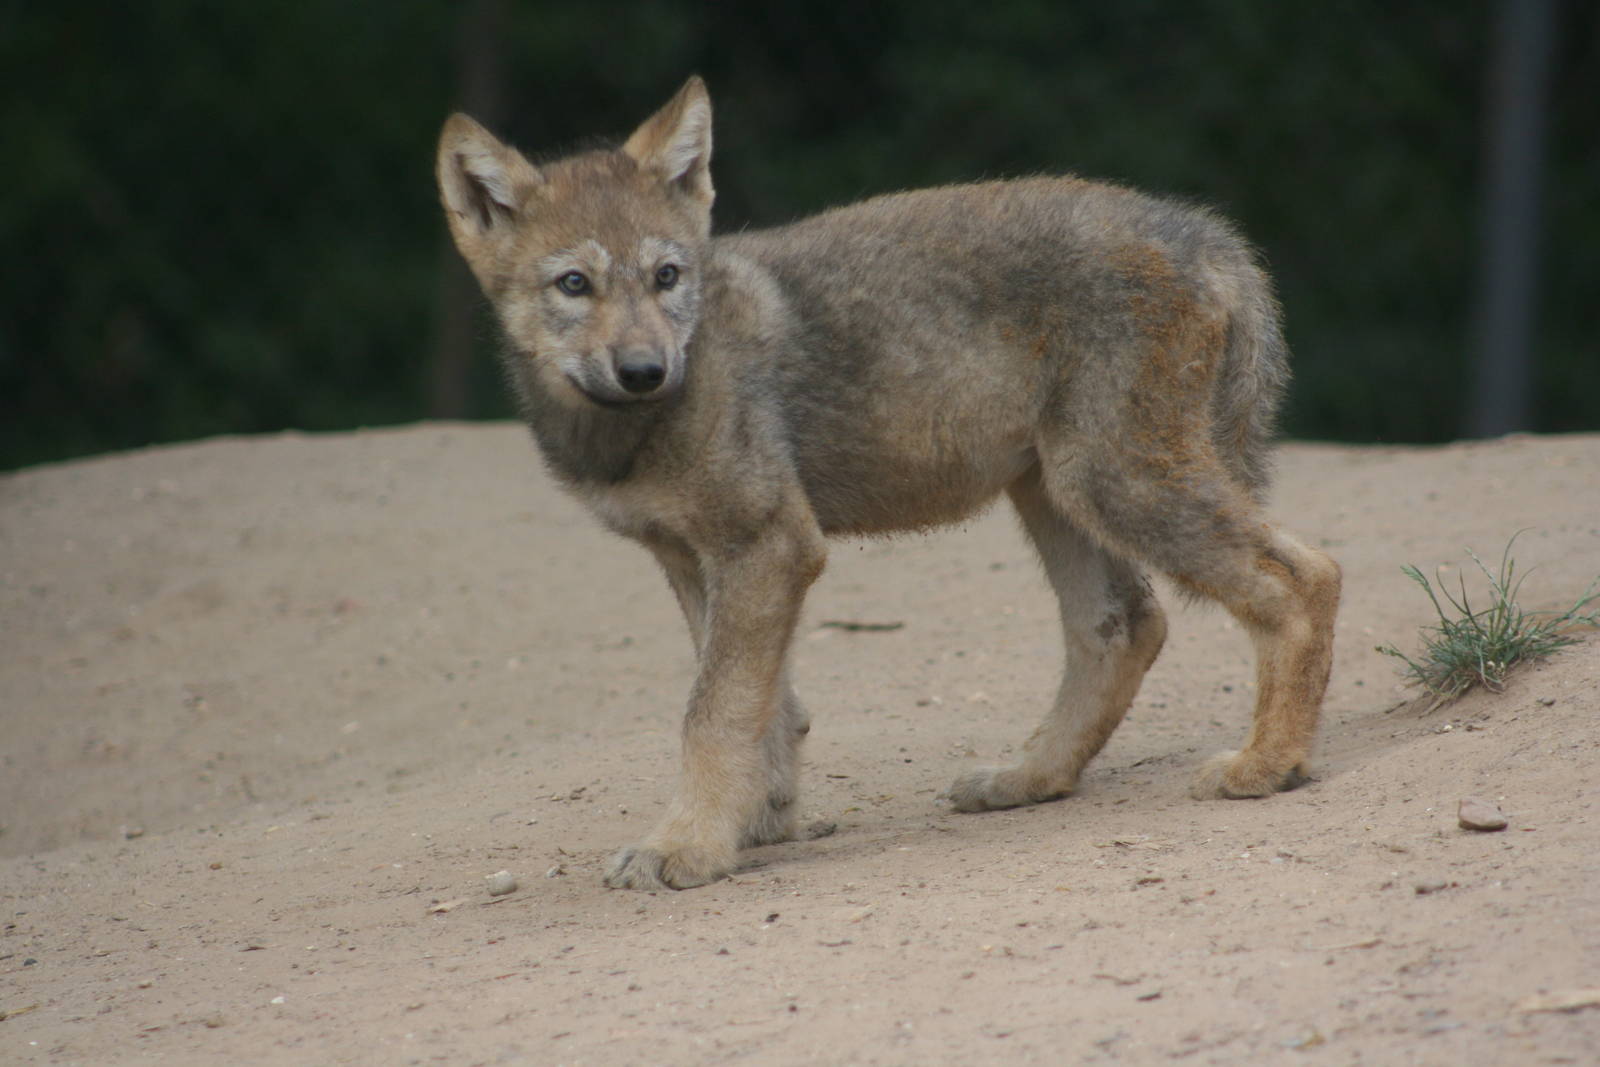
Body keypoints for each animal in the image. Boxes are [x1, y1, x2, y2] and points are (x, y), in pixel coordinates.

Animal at [435, 77, 1341, 890]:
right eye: (574, 285)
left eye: (666, 276)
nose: (646, 370)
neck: (626, 430)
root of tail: (1204, 232)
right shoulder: (695, 558)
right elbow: (764, 706)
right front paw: (757, 823)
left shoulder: (769, 546)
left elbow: (712, 712)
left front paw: (685, 846)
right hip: (1057, 494)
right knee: (1125, 624)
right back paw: (1028, 778)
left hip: (1118, 486)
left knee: (1304, 577)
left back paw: (1268, 763)